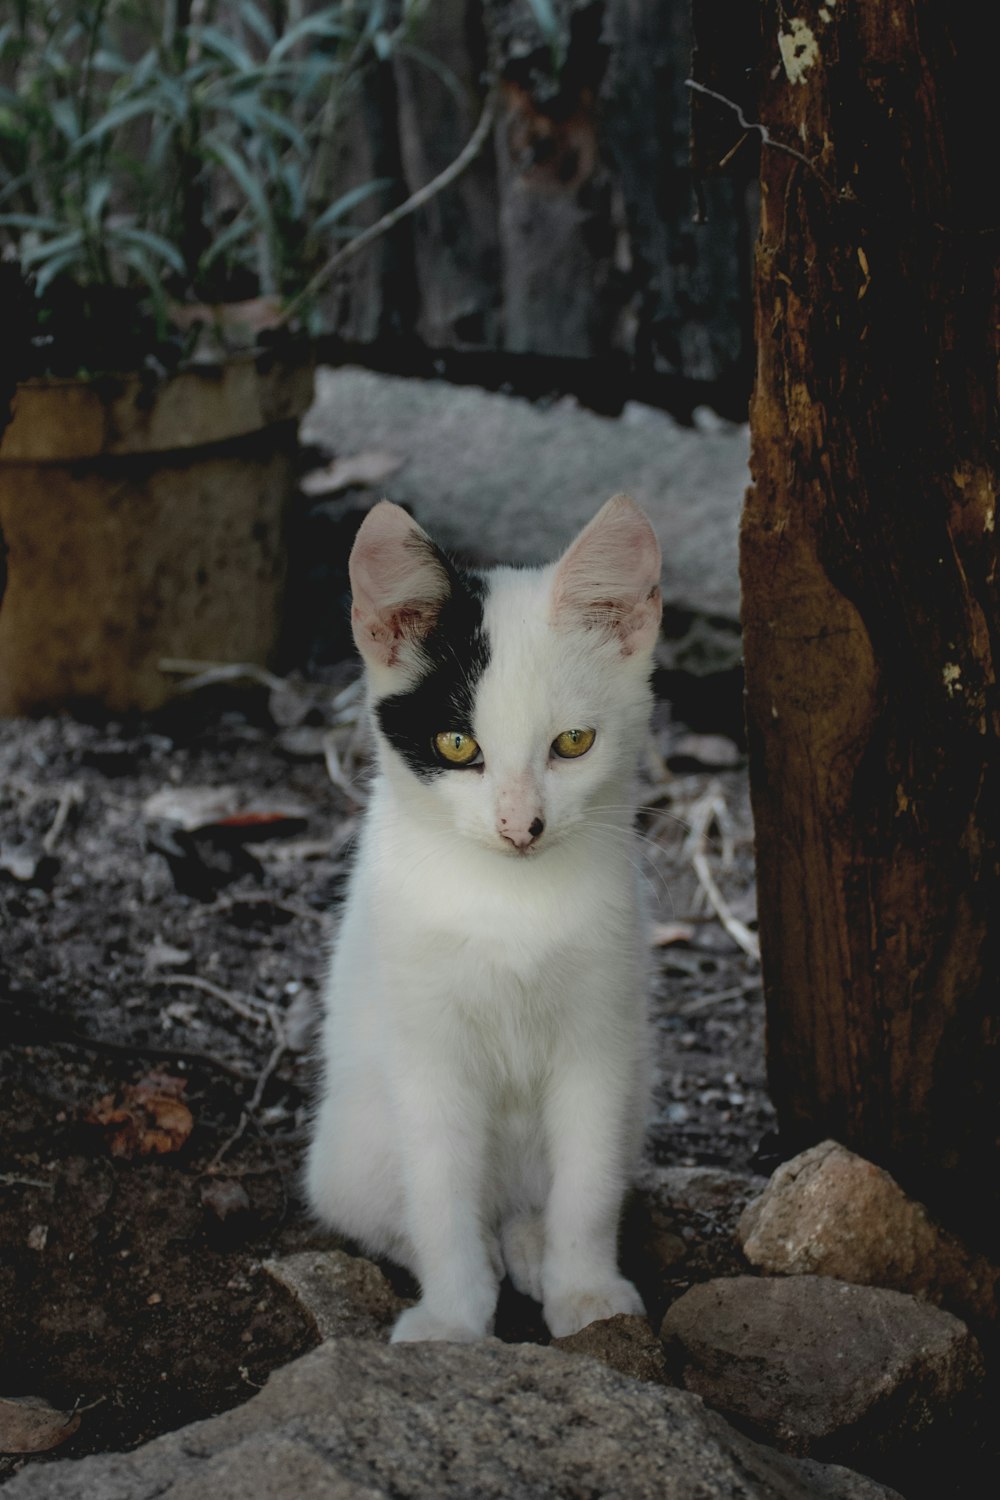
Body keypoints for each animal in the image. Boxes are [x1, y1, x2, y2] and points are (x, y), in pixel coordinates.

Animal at [305, 495, 665, 1350]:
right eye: (456, 743)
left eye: (574, 742)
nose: (519, 826)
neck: (510, 903)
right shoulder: (427, 1052)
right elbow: (440, 1191)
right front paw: (453, 1319)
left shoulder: (601, 1041)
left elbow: (590, 1179)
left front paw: (586, 1288)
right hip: (350, 1140)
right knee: (384, 1205)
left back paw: (529, 1239)